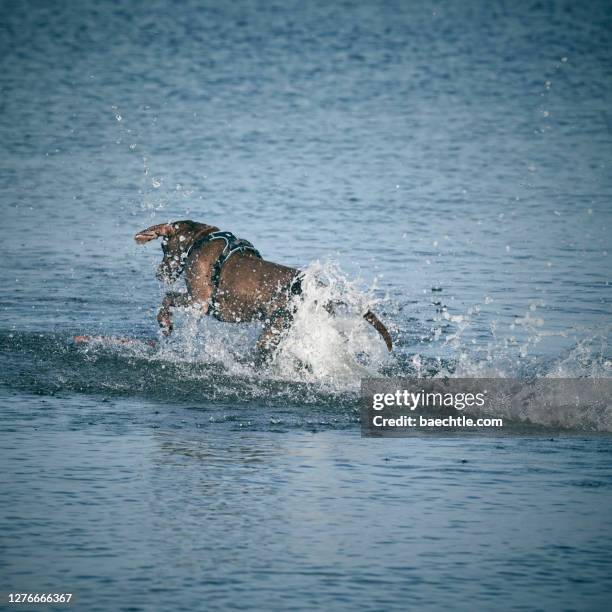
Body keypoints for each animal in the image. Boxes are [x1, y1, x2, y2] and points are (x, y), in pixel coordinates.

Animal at [134, 220, 392, 358]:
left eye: (164, 249)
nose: (159, 273)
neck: (199, 239)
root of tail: (318, 287)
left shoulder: (200, 301)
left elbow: (166, 299)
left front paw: (165, 322)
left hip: (272, 330)